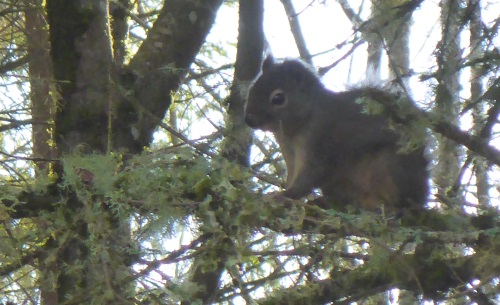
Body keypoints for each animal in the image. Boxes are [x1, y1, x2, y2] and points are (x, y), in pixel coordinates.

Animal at [244, 55, 428, 211]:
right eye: (252, 87)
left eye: (278, 98)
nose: (248, 120)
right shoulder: (290, 154)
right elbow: (293, 176)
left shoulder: (318, 140)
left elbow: (310, 175)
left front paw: (284, 196)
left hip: (386, 167)